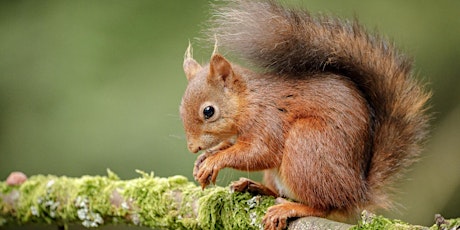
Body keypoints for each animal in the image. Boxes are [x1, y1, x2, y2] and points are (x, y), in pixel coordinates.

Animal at [180, 0, 432, 229]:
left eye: (209, 111)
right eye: (181, 109)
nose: (192, 148)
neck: (248, 102)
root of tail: (357, 192)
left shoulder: (268, 120)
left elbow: (259, 152)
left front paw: (214, 160)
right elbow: (232, 146)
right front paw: (205, 158)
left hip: (306, 145)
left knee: (324, 206)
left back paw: (290, 208)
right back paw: (256, 187)